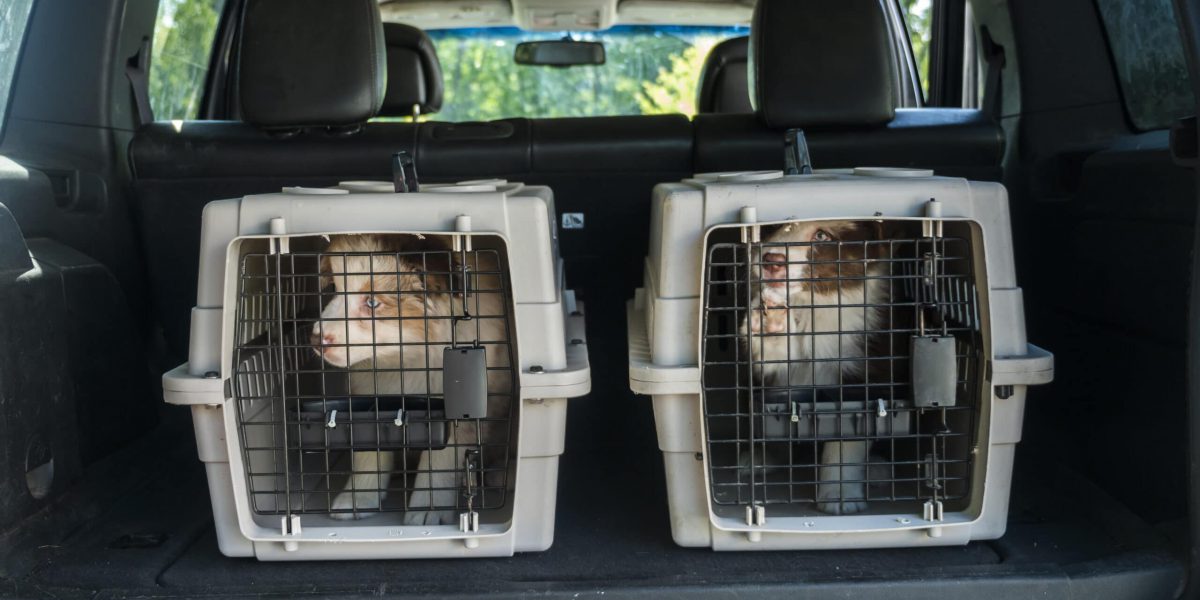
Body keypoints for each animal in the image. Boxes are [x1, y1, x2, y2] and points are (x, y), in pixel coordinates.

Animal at [312, 234, 508, 525]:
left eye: (372, 302)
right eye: (335, 288)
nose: (316, 340)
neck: (404, 360)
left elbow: (439, 463)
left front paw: (428, 510)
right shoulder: (369, 394)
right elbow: (368, 453)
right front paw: (357, 499)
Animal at [739, 220, 892, 516]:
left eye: (822, 236)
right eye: (775, 226)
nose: (771, 261)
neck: (813, 302)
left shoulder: (861, 370)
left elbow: (847, 435)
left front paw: (839, 495)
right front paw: (770, 321)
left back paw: (879, 469)